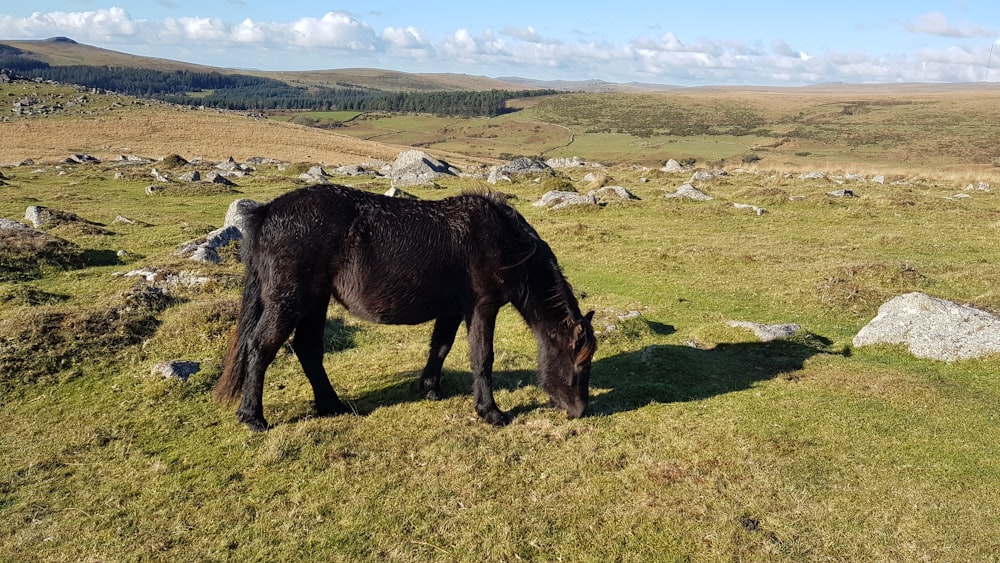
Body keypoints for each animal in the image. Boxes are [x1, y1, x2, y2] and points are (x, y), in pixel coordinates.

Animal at [215, 185, 592, 432]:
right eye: (579, 365)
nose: (579, 411)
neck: (504, 240)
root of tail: (266, 213)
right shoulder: (483, 308)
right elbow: (483, 359)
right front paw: (491, 412)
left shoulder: (453, 310)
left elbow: (440, 348)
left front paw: (430, 389)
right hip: (290, 301)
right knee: (261, 347)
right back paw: (253, 417)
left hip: (315, 301)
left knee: (308, 349)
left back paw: (332, 406)